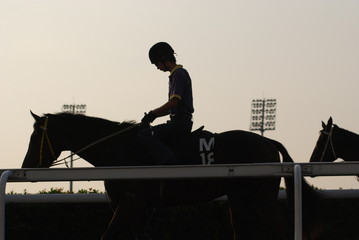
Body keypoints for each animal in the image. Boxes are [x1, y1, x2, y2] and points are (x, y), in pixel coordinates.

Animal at [21, 111, 324, 239]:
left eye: (35, 137)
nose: (26, 165)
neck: (116, 150)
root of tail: (268, 142)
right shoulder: (138, 209)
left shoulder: (129, 204)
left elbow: (106, 236)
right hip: (246, 201)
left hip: (256, 199)